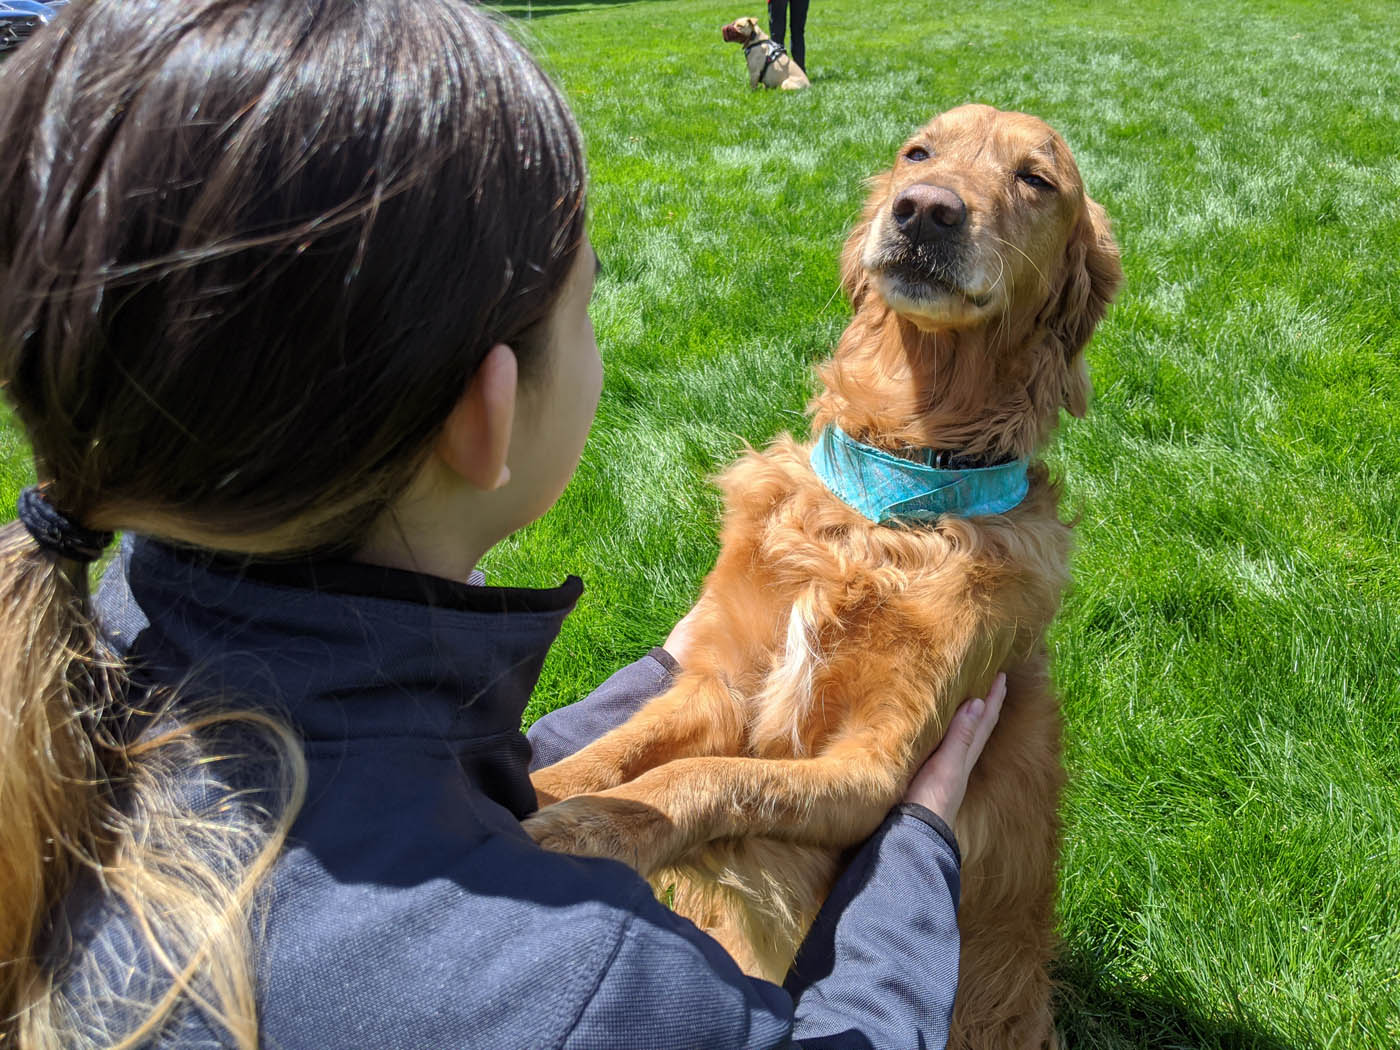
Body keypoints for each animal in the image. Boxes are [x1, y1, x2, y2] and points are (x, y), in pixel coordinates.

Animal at [526, 105, 1125, 1050]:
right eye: (918, 151)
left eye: (1037, 180)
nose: (925, 210)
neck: (890, 504)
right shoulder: (721, 685)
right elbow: (608, 756)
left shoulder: (876, 770)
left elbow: (700, 781)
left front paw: (573, 840)